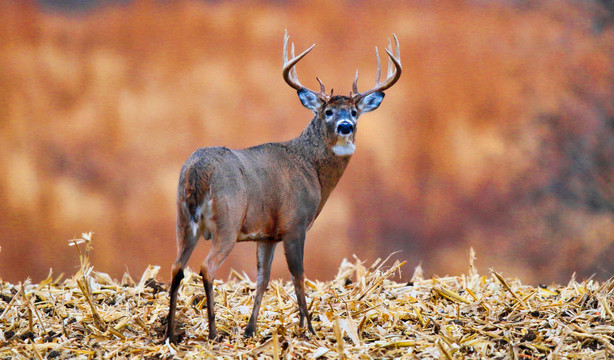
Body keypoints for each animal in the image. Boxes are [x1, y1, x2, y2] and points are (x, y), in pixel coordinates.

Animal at [165, 31, 404, 344]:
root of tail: (197, 171)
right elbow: (298, 275)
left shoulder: (266, 235)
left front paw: (251, 329)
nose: (345, 126)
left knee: (176, 267)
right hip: (227, 220)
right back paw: (213, 332)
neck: (311, 169)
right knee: (206, 267)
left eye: (354, 111)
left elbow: (263, 279)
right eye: (328, 111)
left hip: (182, 219)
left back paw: (169, 333)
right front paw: (309, 328)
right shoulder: (295, 223)